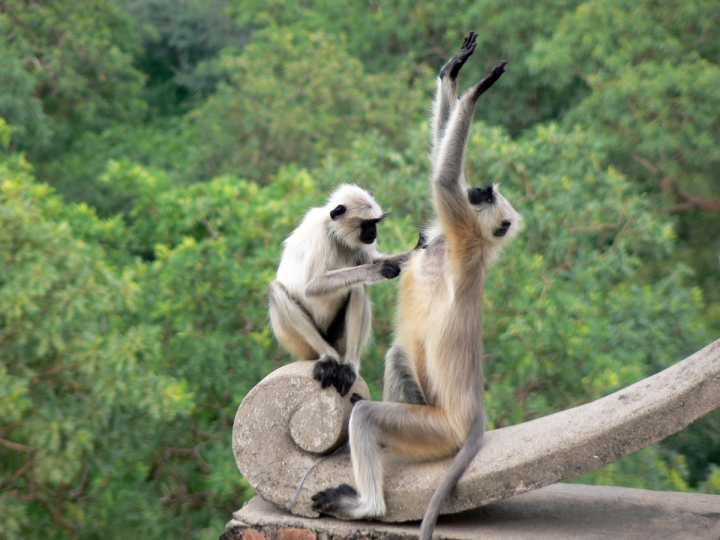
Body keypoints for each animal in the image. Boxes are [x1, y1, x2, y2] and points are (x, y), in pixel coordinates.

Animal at [312, 33, 520, 540]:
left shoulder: (462, 233)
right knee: (397, 356)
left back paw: (366, 506)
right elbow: (444, 159)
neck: (451, 243)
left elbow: (443, 180)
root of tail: (474, 419)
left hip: (437, 430)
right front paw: (455, 70)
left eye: (485, 196)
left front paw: (479, 88)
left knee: (370, 416)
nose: (478, 189)